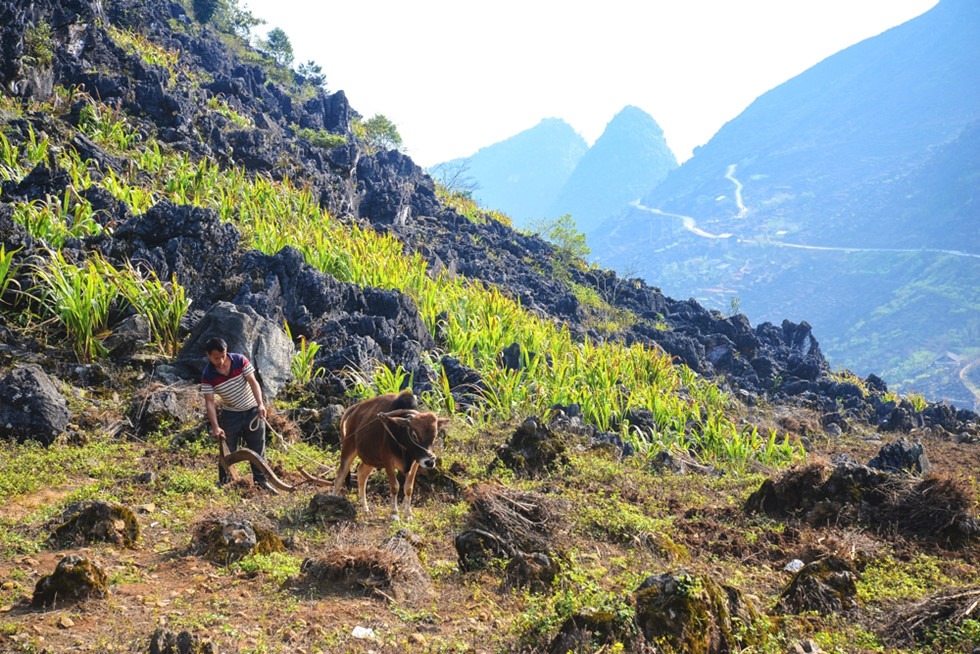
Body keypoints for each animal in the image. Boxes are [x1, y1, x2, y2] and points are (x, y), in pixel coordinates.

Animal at [334, 390, 448, 524]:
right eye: (414, 435)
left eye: (434, 435)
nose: (429, 462)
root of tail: (354, 410)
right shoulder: (388, 461)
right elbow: (395, 487)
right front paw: (394, 514)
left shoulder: (416, 462)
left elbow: (409, 488)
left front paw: (408, 515)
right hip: (348, 448)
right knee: (340, 476)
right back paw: (333, 499)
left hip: (370, 459)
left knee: (361, 473)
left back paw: (365, 507)